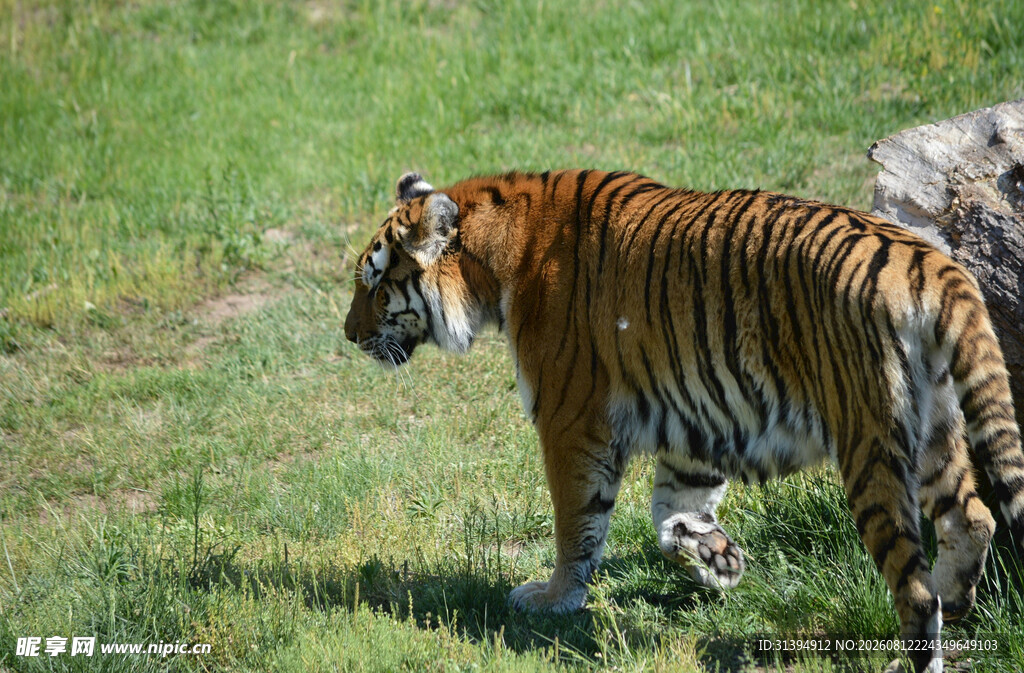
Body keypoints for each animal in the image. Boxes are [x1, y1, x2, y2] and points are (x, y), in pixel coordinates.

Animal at [344, 169, 1024, 673]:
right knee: (973, 519)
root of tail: (927, 259)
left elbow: (576, 524)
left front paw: (554, 598)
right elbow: (671, 516)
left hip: (869, 443)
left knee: (914, 586)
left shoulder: (571, 419)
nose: (348, 336)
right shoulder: (696, 419)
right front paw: (720, 562)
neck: (495, 260)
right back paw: (957, 598)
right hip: (936, 430)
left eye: (375, 286)